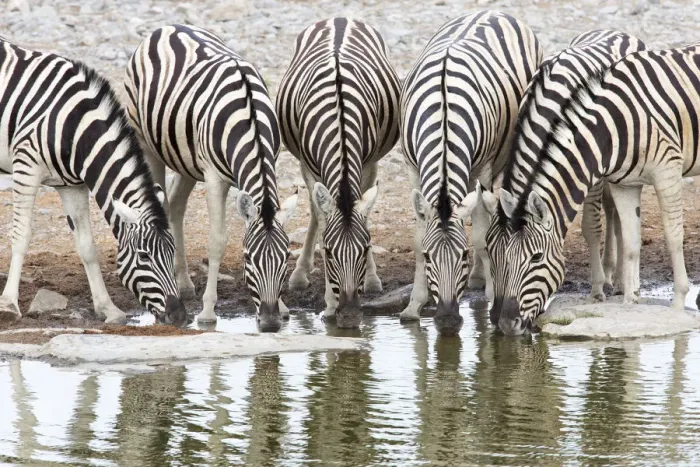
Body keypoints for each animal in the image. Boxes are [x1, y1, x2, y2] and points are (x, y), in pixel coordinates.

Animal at [0, 38, 186, 326]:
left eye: (172, 252)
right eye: (144, 256)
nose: (179, 316)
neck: (76, 127)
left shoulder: (71, 185)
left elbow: (87, 246)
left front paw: (108, 308)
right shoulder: (26, 165)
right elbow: (21, 235)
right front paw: (9, 304)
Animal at [124, 25, 298, 332]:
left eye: (286, 257)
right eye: (247, 258)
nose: (269, 323)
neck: (250, 120)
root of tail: (168, 27)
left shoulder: (270, 161)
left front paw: (285, 307)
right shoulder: (215, 177)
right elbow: (217, 241)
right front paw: (207, 312)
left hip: (186, 158)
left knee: (176, 205)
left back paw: (183, 285)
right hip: (148, 143)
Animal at [276, 18, 400, 328]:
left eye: (366, 249)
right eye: (329, 253)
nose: (351, 316)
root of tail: (340, 19)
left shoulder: (366, 162)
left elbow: (363, 211)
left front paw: (371, 279)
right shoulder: (309, 166)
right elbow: (321, 219)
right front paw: (330, 305)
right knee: (314, 208)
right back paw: (299, 275)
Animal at [398, 11, 542, 335]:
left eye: (461, 255)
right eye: (428, 257)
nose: (447, 320)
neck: (443, 115)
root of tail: (492, 11)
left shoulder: (483, 168)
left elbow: (480, 237)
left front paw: (491, 296)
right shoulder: (413, 169)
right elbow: (417, 237)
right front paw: (414, 304)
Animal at [487, 40, 700, 335]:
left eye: (537, 258)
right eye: (492, 255)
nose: (506, 324)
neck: (613, 126)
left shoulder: (666, 169)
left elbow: (672, 236)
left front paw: (678, 303)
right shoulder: (624, 183)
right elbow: (631, 242)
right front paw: (630, 304)